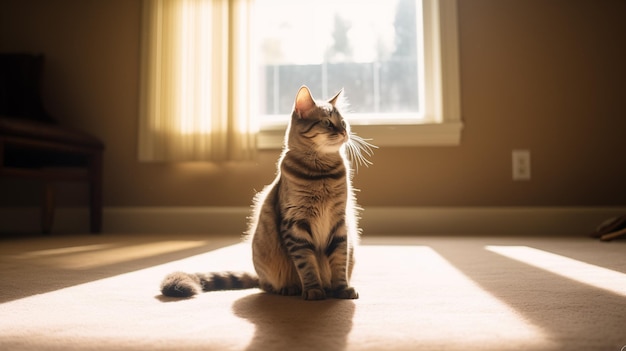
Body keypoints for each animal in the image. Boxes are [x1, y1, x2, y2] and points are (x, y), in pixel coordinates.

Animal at [161, 86, 376, 302]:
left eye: (343, 122)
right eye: (327, 122)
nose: (344, 132)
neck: (321, 174)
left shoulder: (339, 223)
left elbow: (339, 262)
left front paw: (341, 289)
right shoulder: (295, 224)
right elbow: (307, 265)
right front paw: (314, 290)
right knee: (266, 285)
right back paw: (288, 288)